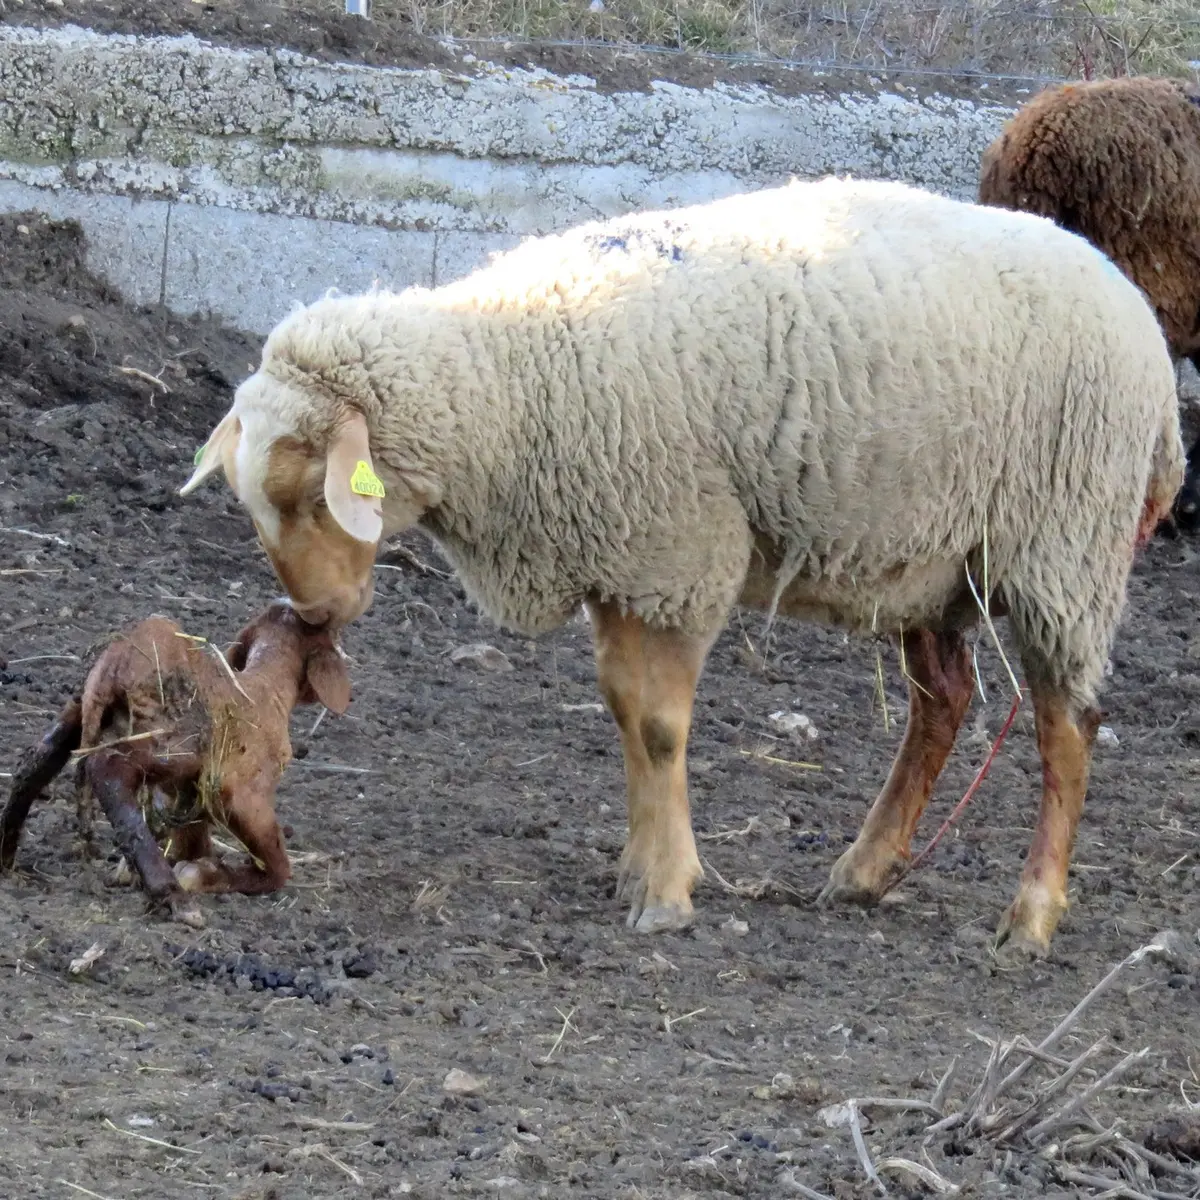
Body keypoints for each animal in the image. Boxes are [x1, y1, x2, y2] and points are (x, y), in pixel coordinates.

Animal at [2, 600, 350, 926]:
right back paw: (171, 894)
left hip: (81, 711)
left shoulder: (189, 791)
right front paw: (200, 874)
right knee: (108, 771)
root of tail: (114, 661)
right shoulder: (241, 791)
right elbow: (277, 866)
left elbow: (191, 836)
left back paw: (7, 854)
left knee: (37, 759)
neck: (266, 689)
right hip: (167, 741)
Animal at [182, 177, 1185, 960]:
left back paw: (1031, 916)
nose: (314, 616)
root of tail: (1135, 311)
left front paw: (667, 895)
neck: (512, 382)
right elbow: (624, 713)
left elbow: (662, 729)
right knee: (944, 701)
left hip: (1067, 547)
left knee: (1066, 729)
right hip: (937, 561)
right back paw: (864, 870)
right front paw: (637, 868)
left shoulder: (679, 555)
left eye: (314, 493)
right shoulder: (622, 558)